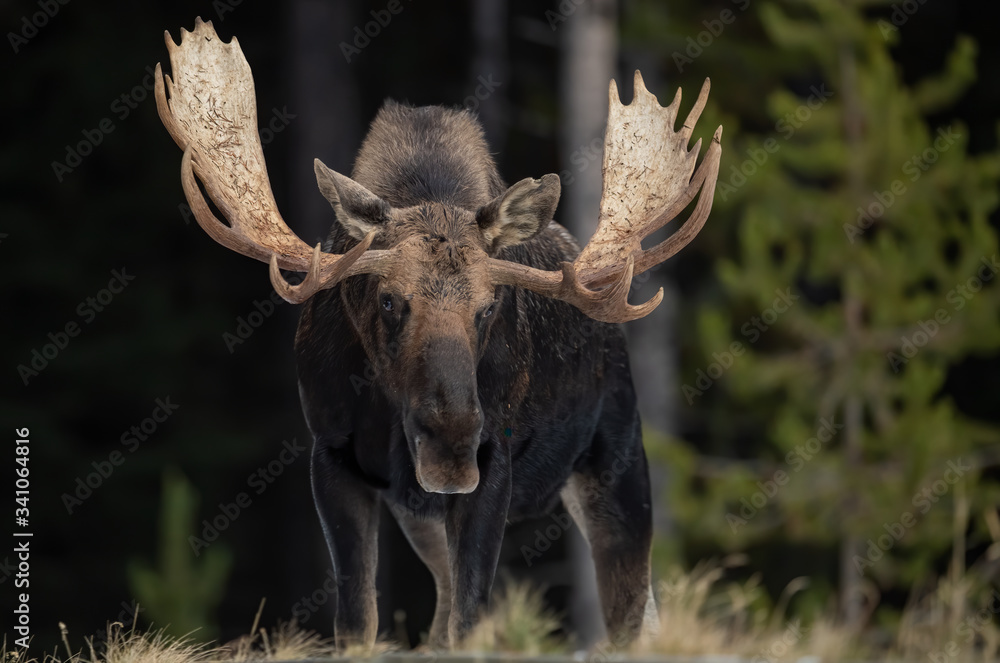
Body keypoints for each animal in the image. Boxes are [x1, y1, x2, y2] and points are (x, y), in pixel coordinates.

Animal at [155, 18, 722, 651]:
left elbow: (473, 619)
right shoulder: (332, 456)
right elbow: (360, 620)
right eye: (387, 299)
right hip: (424, 509)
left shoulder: (493, 466)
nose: (451, 436)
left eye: (490, 306)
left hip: (617, 458)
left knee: (629, 610)